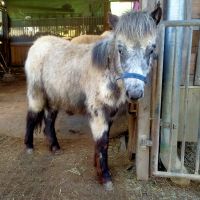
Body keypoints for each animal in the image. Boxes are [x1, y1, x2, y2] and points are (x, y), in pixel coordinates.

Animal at [24, 9, 161, 191]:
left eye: (151, 49)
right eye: (120, 49)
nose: (135, 93)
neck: (106, 72)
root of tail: (38, 43)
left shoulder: (110, 113)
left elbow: (104, 141)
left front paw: (98, 169)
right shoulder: (98, 111)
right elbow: (102, 142)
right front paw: (105, 177)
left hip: (54, 96)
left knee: (49, 120)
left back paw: (54, 147)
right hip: (37, 94)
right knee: (32, 116)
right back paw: (29, 147)